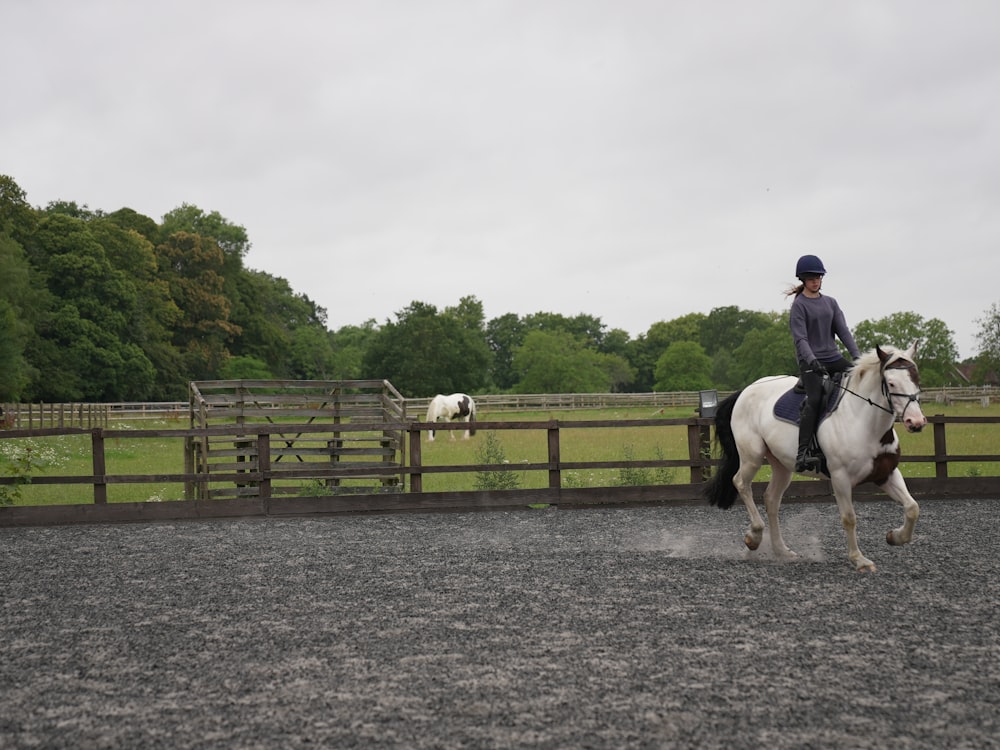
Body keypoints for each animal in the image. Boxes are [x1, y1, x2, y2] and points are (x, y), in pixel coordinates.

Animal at [704, 344, 928, 572]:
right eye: (891, 383)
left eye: (916, 379)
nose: (916, 422)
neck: (864, 422)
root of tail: (745, 391)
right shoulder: (840, 478)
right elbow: (849, 518)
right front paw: (859, 559)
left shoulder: (886, 474)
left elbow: (913, 508)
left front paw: (895, 537)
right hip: (752, 456)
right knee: (741, 483)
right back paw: (754, 537)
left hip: (782, 466)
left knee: (771, 499)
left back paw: (782, 551)